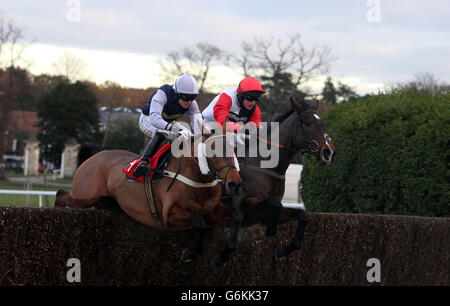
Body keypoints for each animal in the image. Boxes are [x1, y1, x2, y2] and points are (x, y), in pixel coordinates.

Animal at [55, 130, 243, 262]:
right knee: (60, 195)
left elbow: (235, 215)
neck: (197, 179)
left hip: (105, 202)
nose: (234, 183)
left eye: (233, 150)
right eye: (213, 151)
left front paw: (222, 256)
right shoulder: (168, 215)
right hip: (84, 196)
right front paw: (190, 252)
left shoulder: (212, 212)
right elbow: (198, 221)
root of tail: (98, 154)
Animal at [215, 97, 338, 266]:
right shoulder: (238, 204)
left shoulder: (261, 215)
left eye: (323, 124)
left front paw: (282, 249)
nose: (329, 152)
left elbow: (301, 215)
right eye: (307, 123)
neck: (264, 166)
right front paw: (221, 257)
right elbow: (239, 219)